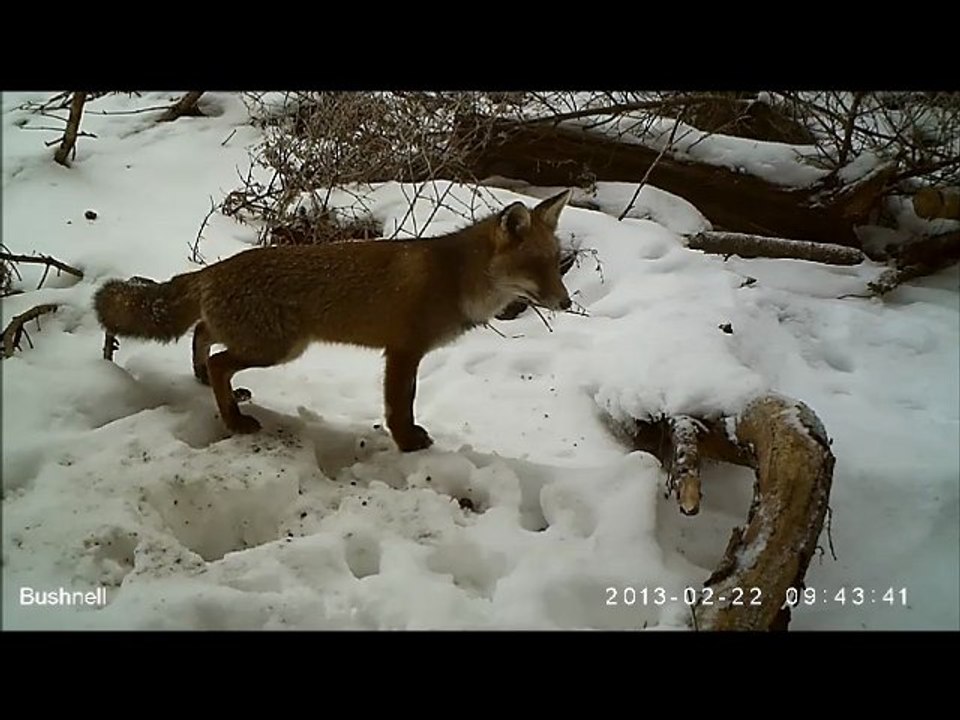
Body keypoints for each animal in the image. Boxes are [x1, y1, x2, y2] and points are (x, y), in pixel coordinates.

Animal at [93, 189, 573, 452]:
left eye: (556, 263)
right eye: (535, 266)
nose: (567, 303)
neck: (456, 278)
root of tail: (215, 268)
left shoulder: (408, 353)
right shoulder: (403, 351)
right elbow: (400, 406)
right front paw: (407, 444)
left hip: (261, 342)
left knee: (202, 333)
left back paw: (202, 380)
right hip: (278, 348)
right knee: (217, 360)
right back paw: (233, 419)